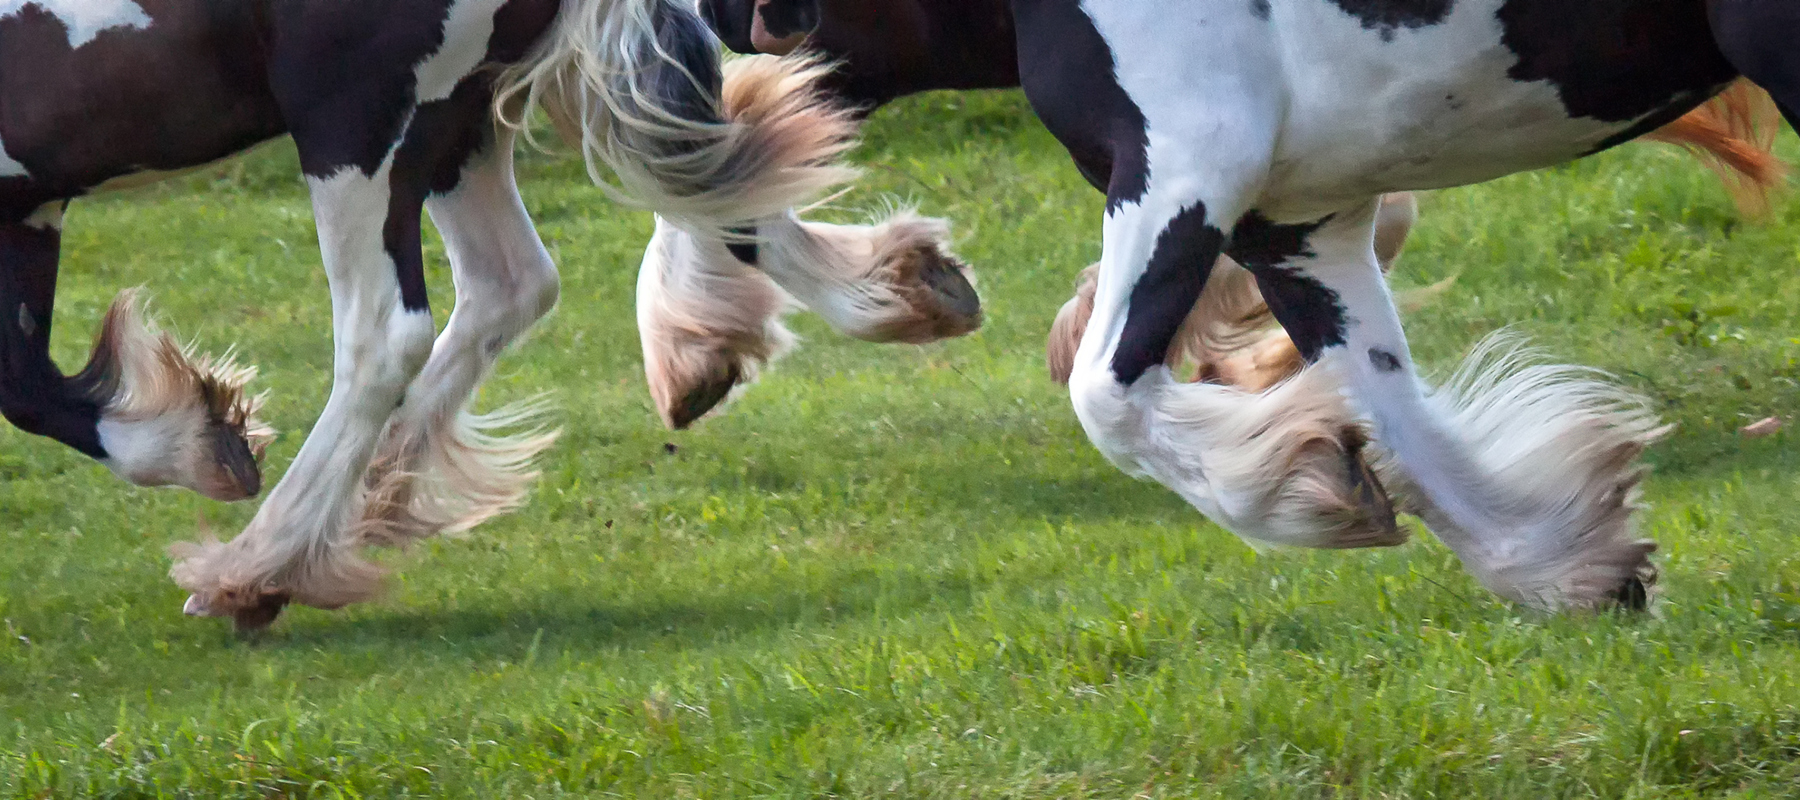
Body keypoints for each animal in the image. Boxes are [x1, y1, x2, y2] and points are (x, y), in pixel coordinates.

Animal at [0, 0, 885, 627]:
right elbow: (27, 383)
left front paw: (207, 446)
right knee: (518, 279)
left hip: (356, 120)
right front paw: (204, 436)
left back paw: (254, 570)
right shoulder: (28, 207)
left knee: (386, 338)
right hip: (457, 116)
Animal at [676, 0, 1800, 612]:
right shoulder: (1298, 225)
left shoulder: (1186, 163)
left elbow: (1105, 394)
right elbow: (1393, 416)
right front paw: (1576, 564)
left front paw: (1311, 486)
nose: (715, 99)